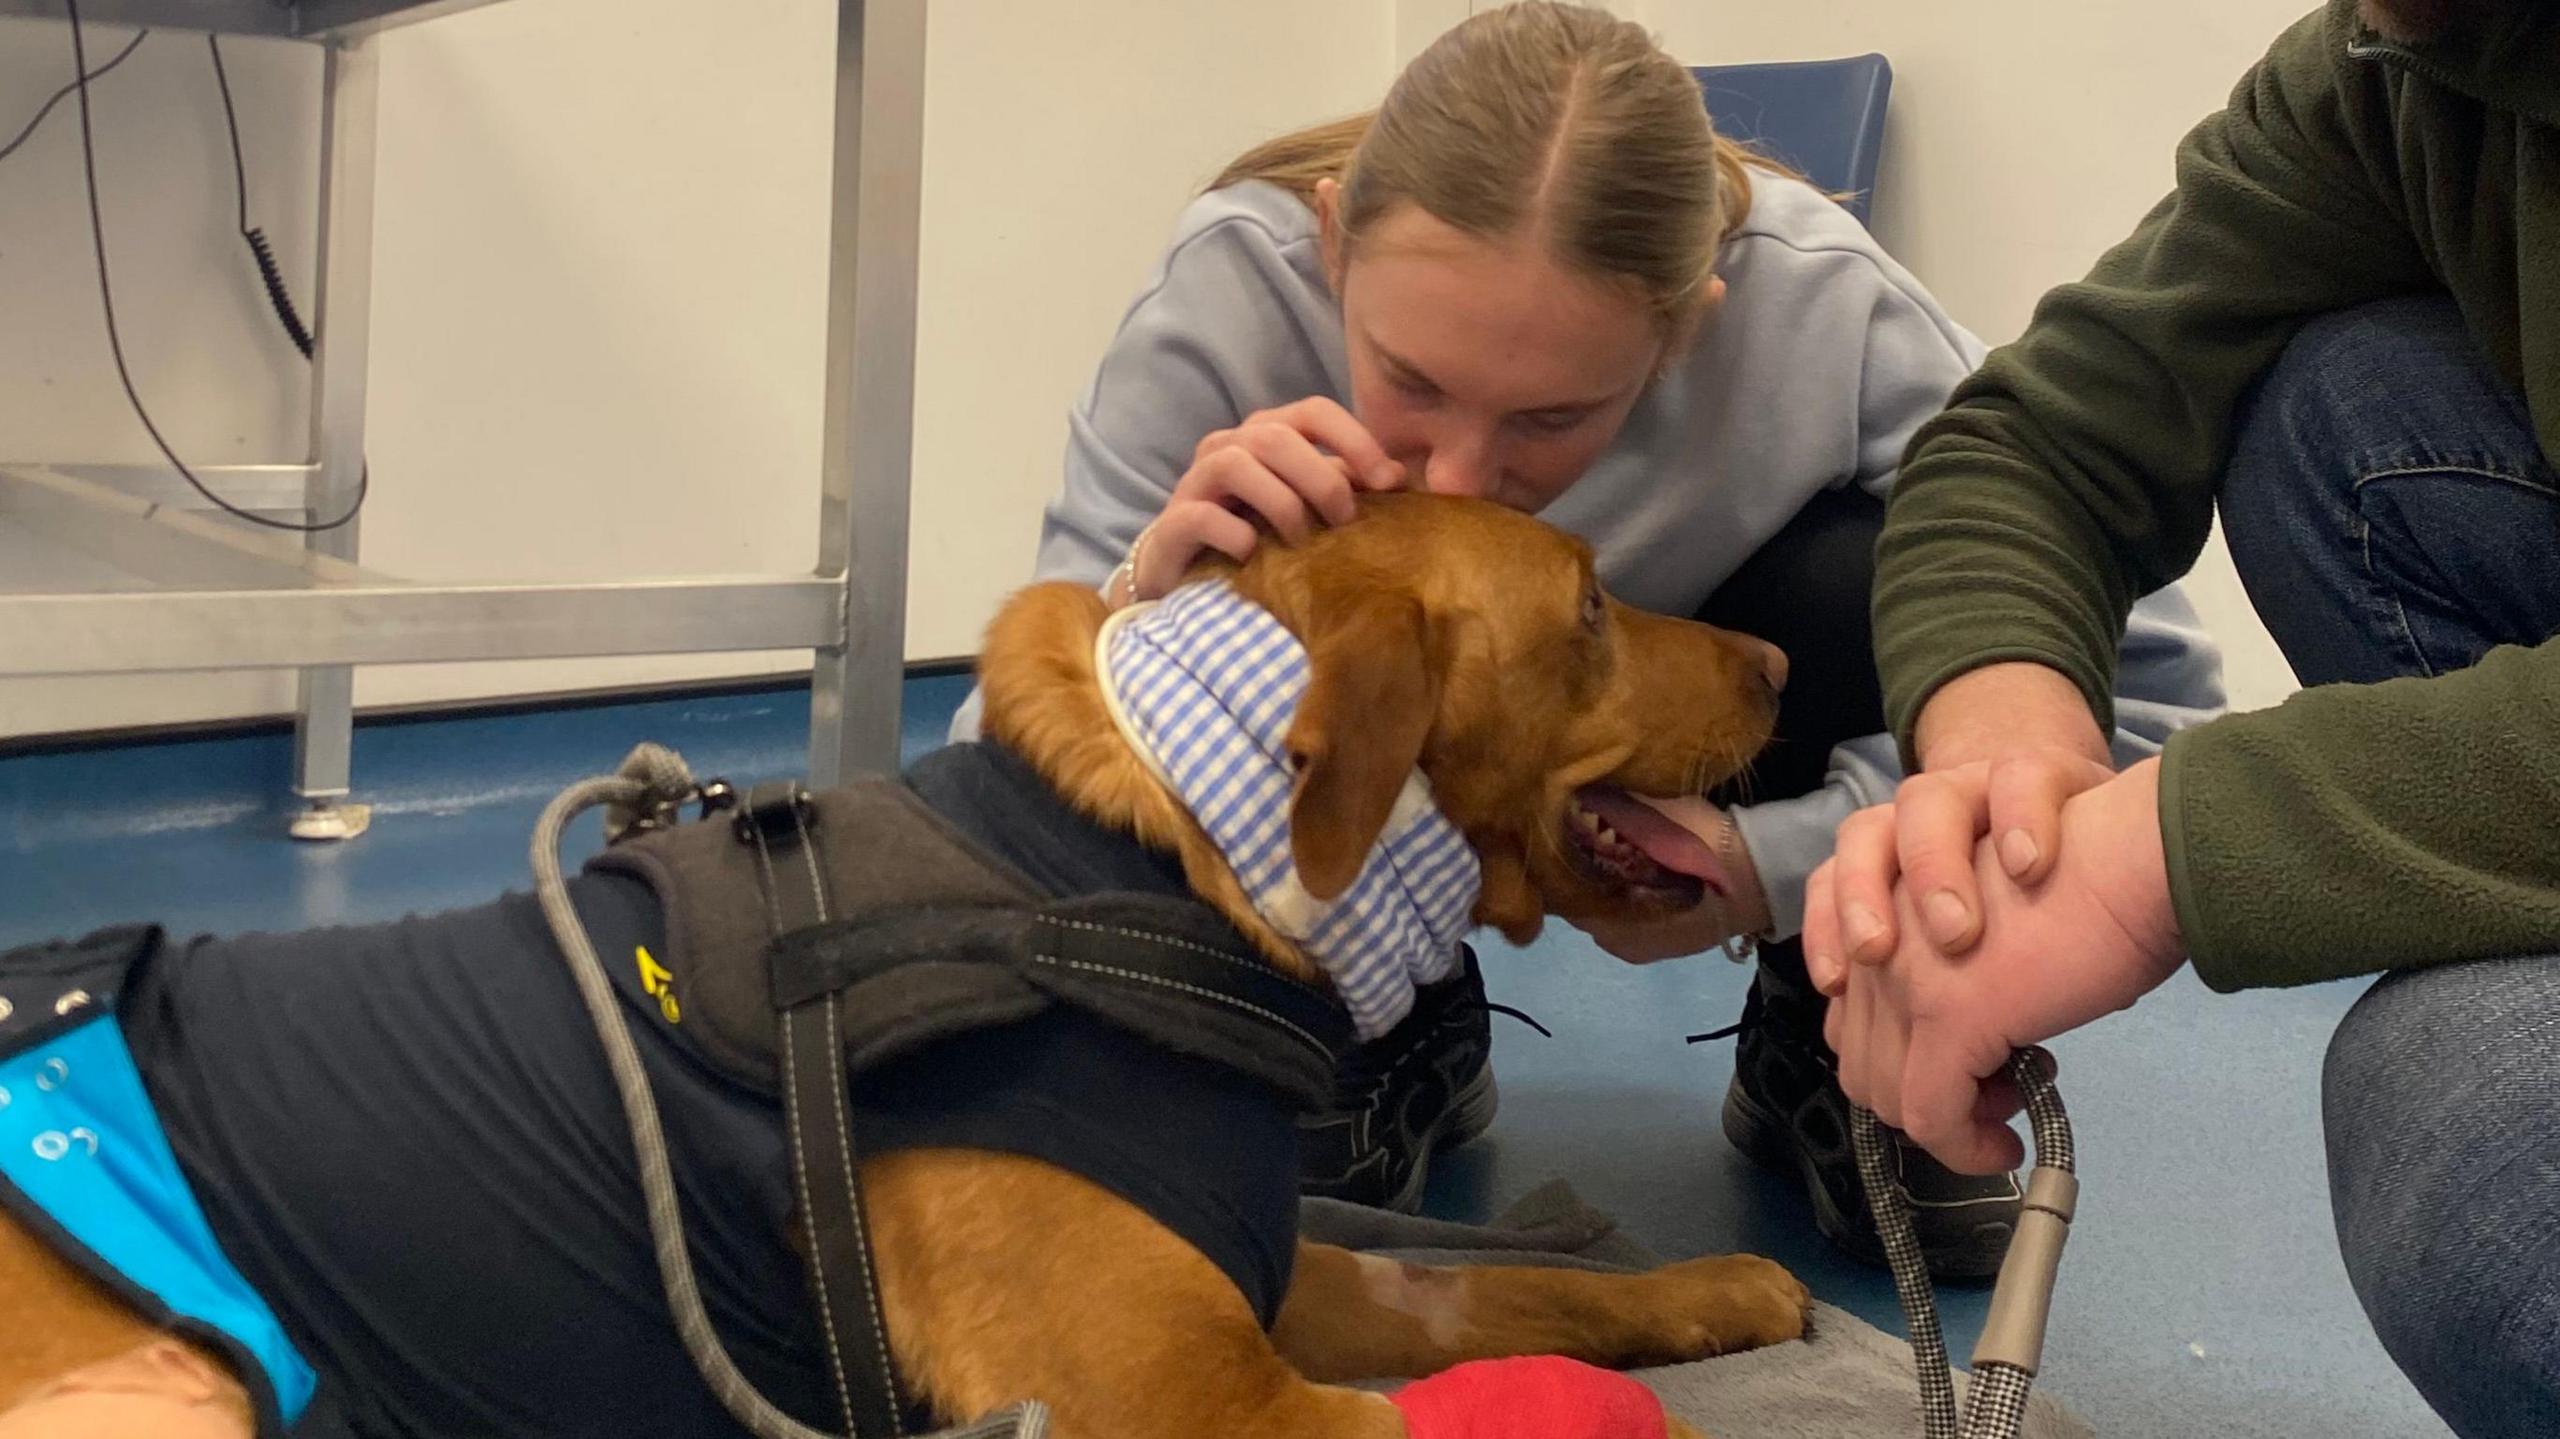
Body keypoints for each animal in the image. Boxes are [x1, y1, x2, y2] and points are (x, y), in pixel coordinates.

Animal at [5, 489, 1802, 1423]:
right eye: (1588, 608)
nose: (1787, 660)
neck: (1164, 862)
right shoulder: (1205, 1397)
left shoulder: (1291, 1283)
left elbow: (1517, 1284)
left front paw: (1715, 1285)